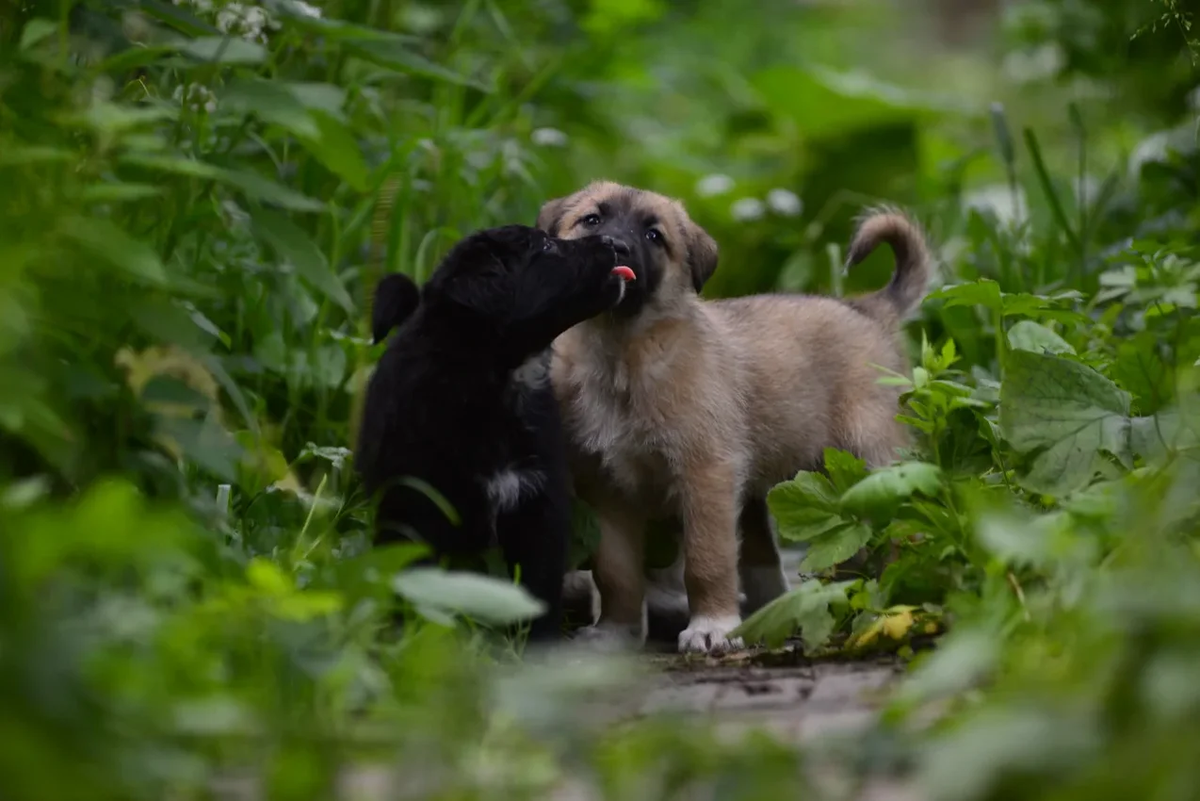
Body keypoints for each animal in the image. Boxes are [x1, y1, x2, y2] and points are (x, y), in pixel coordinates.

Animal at [355, 221, 638, 642]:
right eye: (545, 248)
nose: (614, 242)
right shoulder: (419, 504)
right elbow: (420, 579)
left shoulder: (540, 502)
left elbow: (537, 588)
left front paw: (538, 644)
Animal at [540, 184, 931, 652]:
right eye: (592, 220)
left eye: (654, 235)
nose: (617, 247)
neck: (622, 357)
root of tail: (869, 309)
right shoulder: (606, 492)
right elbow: (616, 574)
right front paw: (616, 633)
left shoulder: (706, 474)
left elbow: (707, 560)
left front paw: (712, 627)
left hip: (875, 455)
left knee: (901, 523)